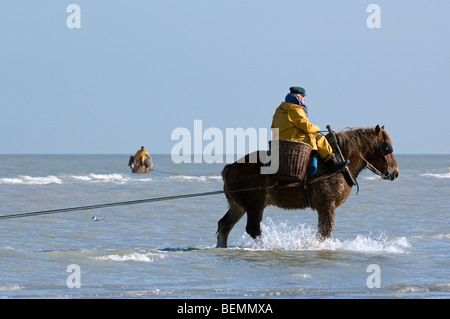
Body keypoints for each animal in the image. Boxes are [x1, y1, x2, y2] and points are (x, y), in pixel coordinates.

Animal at [216, 124, 400, 248]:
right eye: (386, 147)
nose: (395, 172)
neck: (338, 164)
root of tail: (231, 167)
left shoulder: (324, 207)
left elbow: (322, 232)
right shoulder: (327, 205)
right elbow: (325, 232)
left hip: (239, 206)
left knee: (224, 225)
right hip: (255, 205)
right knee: (253, 229)